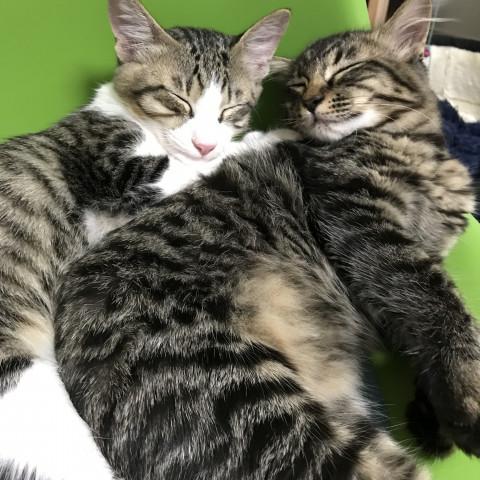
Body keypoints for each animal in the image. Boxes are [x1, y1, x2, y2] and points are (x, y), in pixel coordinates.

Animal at [0, 0, 290, 478]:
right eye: (176, 100)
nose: (205, 144)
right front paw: (283, 135)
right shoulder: (120, 169)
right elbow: (200, 166)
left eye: (232, 109)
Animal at [54, 0, 479, 478]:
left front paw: (432, 416)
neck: (417, 149)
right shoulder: (367, 230)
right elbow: (440, 307)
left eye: (346, 70)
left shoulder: (420, 252)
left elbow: (420, 320)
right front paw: (468, 401)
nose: (310, 103)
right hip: (256, 406)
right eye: (298, 85)